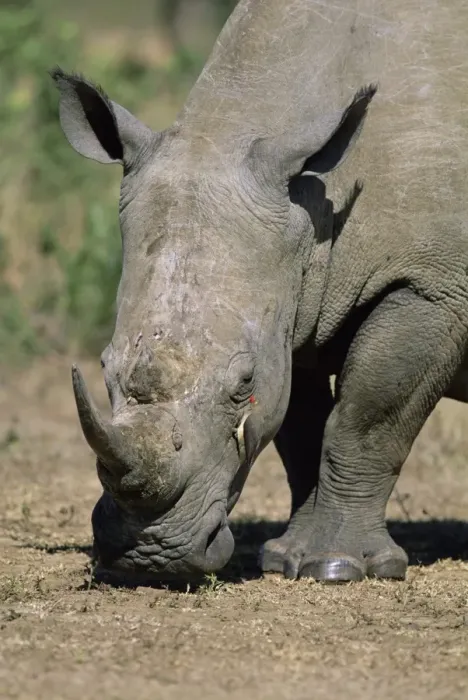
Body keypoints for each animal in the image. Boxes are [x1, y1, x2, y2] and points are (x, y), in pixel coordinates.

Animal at [51, 0, 468, 583]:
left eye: (242, 384)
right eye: (105, 367)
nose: (149, 555)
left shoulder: (431, 286)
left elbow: (365, 420)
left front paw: (338, 568)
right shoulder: (296, 303)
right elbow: (301, 428)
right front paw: (285, 558)